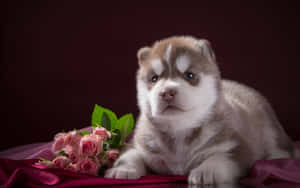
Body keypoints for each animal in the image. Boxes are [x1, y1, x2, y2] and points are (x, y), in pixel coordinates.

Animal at [104, 36, 298, 184]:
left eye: (189, 75)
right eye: (154, 78)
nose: (167, 93)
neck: (179, 131)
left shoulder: (238, 146)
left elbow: (221, 157)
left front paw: (206, 171)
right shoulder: (139, 142)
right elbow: (130, 153)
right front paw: (124, 168)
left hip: (269, 126)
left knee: (280, 146)